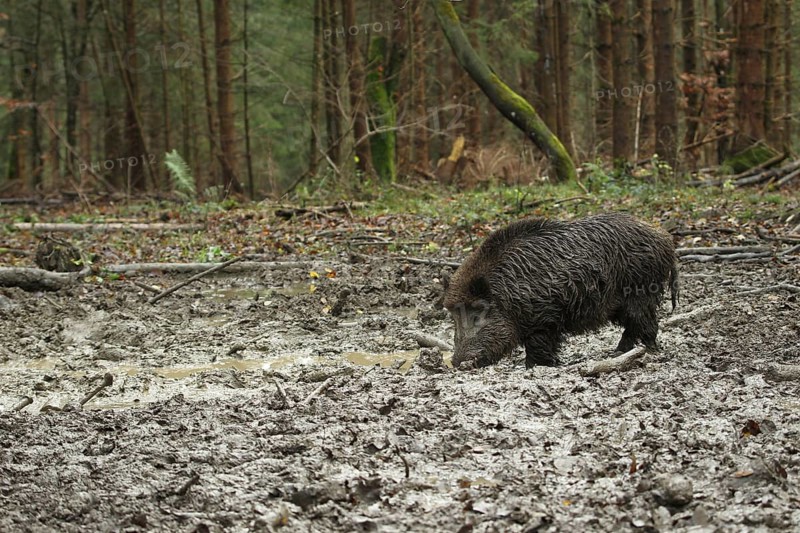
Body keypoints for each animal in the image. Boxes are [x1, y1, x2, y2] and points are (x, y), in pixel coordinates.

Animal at [442, 213, 678, 368]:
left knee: (646, 324)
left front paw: (537, 366)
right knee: (632, 327)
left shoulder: (543, 320)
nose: (457, 363)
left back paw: (647, 351)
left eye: (477, 315)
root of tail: (665, 239)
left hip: (641, 292)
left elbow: (538, 347)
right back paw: (618, 352)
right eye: (454, 317)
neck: (507, 293)